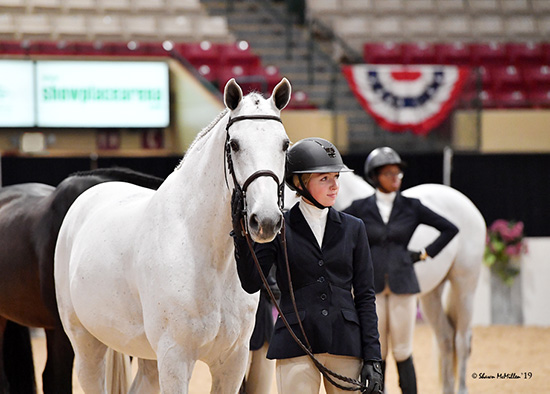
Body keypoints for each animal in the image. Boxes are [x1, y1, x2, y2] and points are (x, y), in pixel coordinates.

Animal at [54, 78, 294, 392]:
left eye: (284, 144)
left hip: (147, 358)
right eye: (234, 144)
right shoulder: (175, 359)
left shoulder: (232, 361)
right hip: (86, 344)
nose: (265, 220)